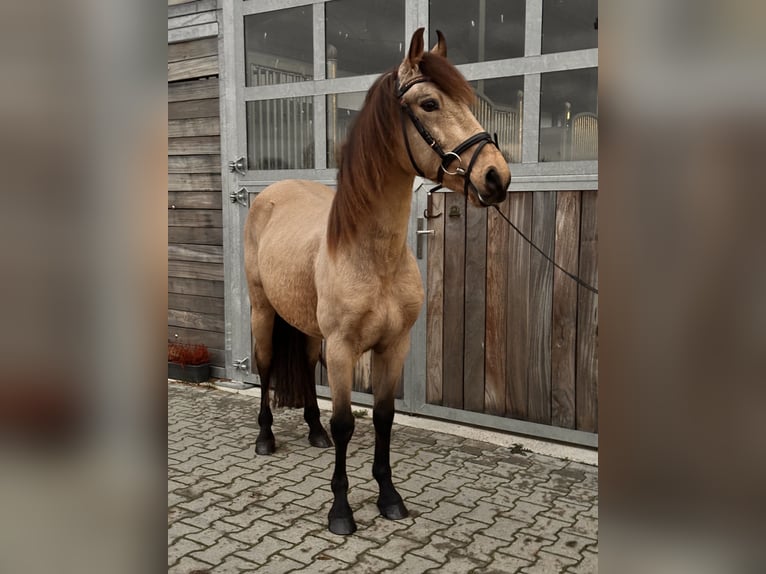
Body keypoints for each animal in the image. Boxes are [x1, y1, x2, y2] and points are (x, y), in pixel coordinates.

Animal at [244, 28, 511, 535]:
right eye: (429, 103)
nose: (496, 177)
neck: (373, 257)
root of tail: (273, 192)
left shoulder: (394, 346)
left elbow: (384, 419)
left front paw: (389, 498)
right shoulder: (344, 349)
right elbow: (348, 423)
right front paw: (341, 511)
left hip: (309, 330)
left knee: (304, 367)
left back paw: (314, 432)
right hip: (263, 312)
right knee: (266, 370)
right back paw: (265, 439)